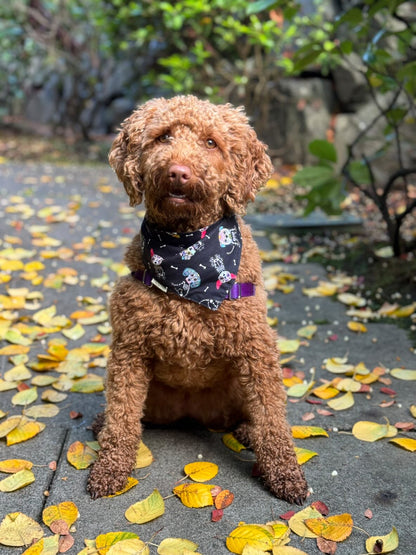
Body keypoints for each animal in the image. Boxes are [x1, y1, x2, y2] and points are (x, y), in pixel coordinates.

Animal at [87, 95, 308, 504]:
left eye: (211, 143)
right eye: (162, 137)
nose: (178, 172)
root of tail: (192, 412)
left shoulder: (257, 351)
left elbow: (272, 417)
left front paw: (285, 474)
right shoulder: (129, 352)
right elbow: (122, 418)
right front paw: (110, 468)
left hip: (237, 386)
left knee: (252, 417)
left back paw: (248, 432)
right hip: (155, 397)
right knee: (128, 415)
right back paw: (100, 423)